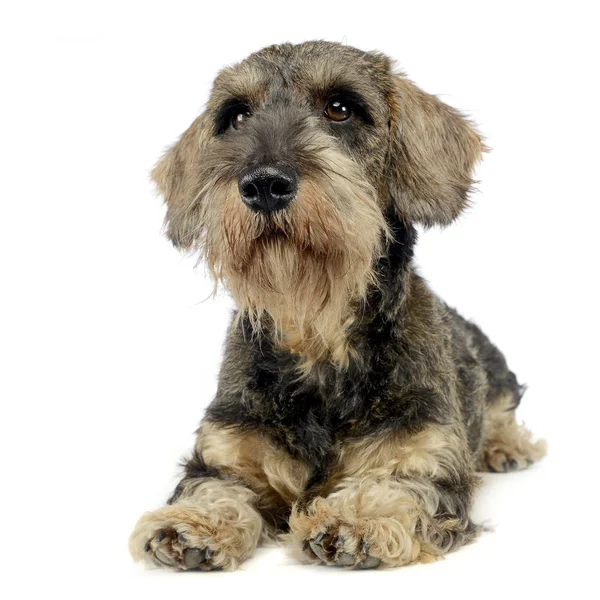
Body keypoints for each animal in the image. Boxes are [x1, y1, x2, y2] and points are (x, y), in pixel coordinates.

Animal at [129, 39, 548, 568]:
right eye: (237, 116)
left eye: (340, 108)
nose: (264, 184)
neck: (318, 339)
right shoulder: (226, 453)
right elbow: (215, 486)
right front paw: (193, 521)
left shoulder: (426, 457)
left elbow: (395, 488)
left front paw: (357, 517)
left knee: (503, 406)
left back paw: (508, 446)